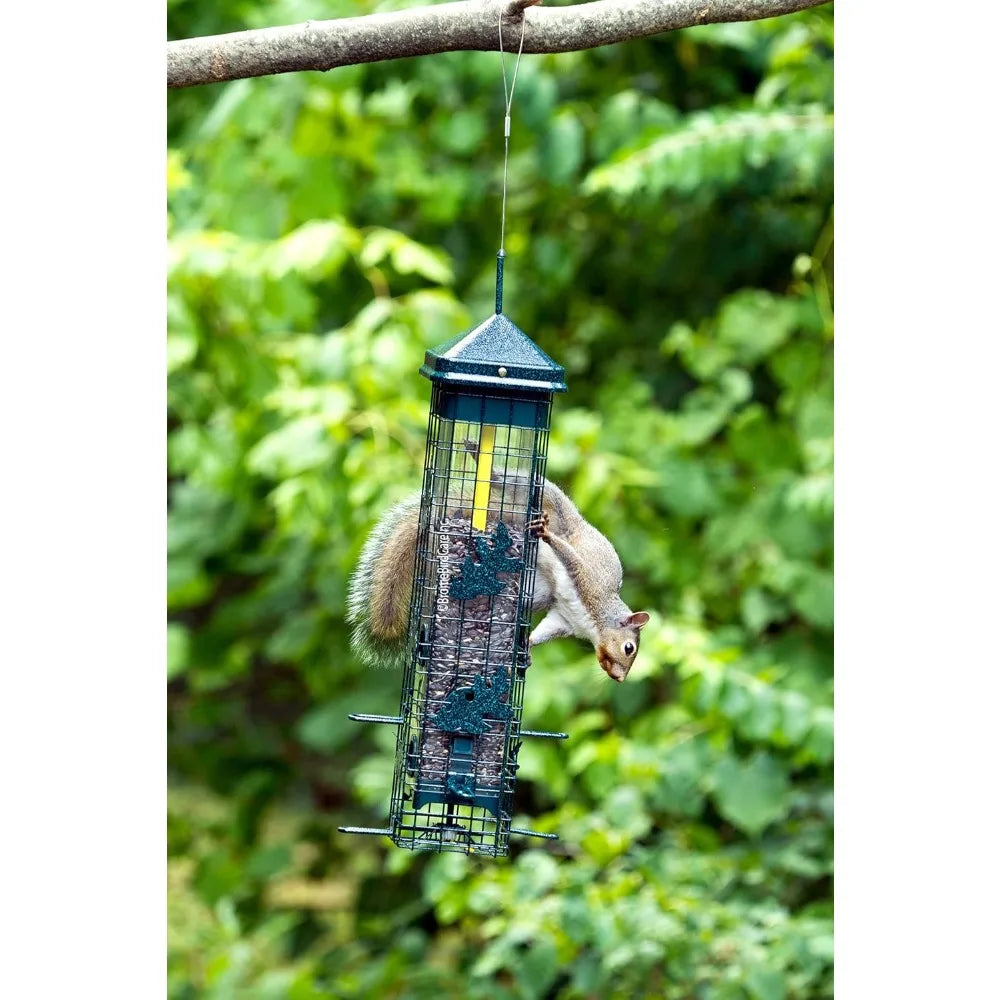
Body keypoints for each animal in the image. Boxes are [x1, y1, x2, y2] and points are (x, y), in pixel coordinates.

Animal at [347, 467, 650, 682]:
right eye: (629, 649)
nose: (619, 678)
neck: (594, 621)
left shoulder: (563, 618)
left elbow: (546, 629)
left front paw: (526, 647)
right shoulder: (587, 582)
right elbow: (570, 558)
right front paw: (548, 536)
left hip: (540, 591)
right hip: (554, 505)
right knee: (523, 485)